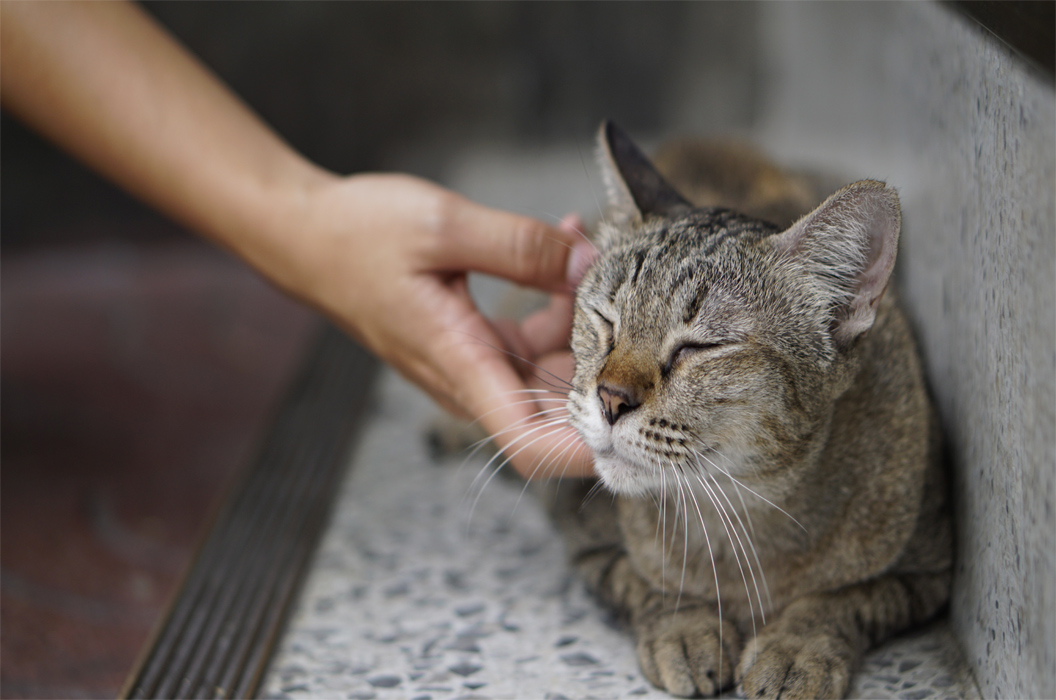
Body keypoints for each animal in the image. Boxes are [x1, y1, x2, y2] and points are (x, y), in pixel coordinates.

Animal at [549, 123, 954, 696]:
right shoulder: (588, 542)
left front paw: (795, 648)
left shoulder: (929, 571)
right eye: (605, 319)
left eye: (700, 347)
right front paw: (685, 626)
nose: (609, 397)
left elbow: (840, 600)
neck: (743, 511)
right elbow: (644, 584)